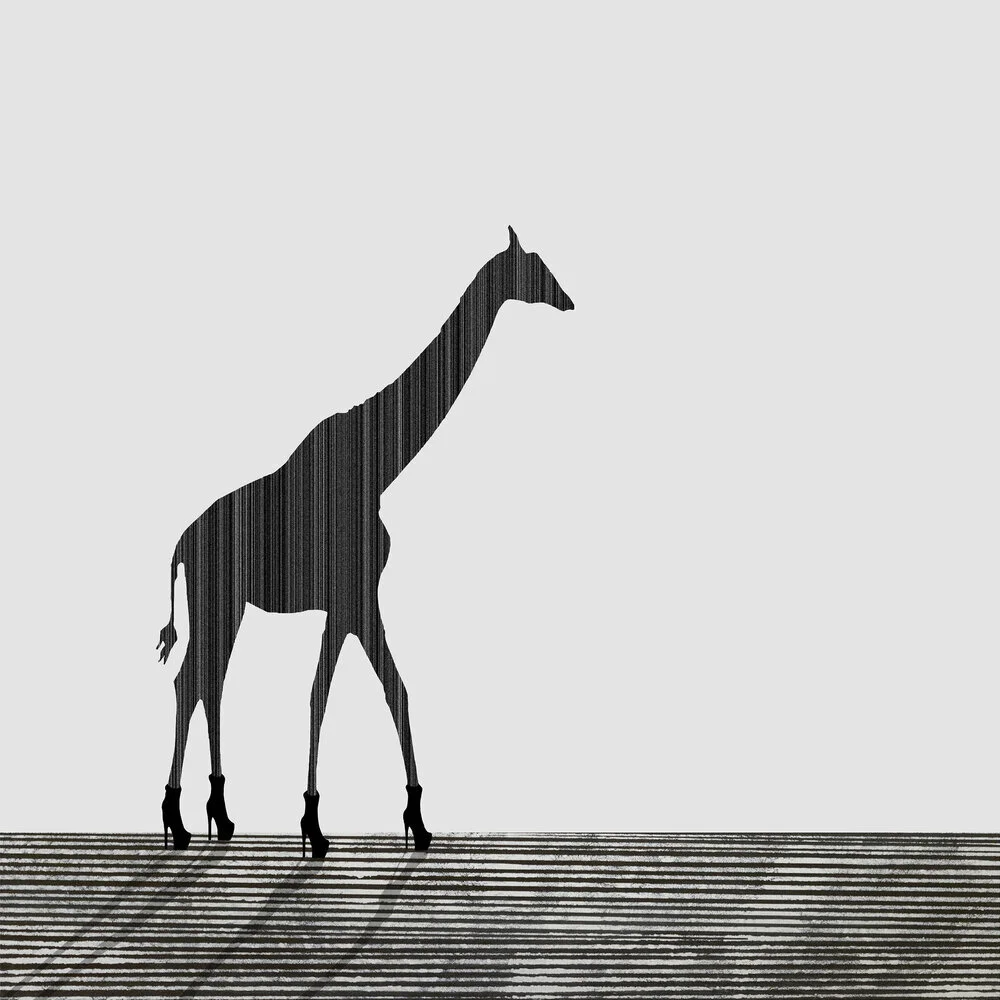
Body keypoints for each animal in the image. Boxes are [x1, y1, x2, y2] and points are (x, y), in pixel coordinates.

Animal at [156, 227, 574, 857]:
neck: (380, 466)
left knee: (205, 684)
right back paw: (180, 821)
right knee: (194, 685)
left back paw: (219, 817)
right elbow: (330, 696)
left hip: (229, 608)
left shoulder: (353, 601)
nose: (568, 299)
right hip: (218, 604)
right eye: (535, 264)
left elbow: (382, 692)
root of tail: (180, 545)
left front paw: (411, 822)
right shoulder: (353, 596)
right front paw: (319, 825)